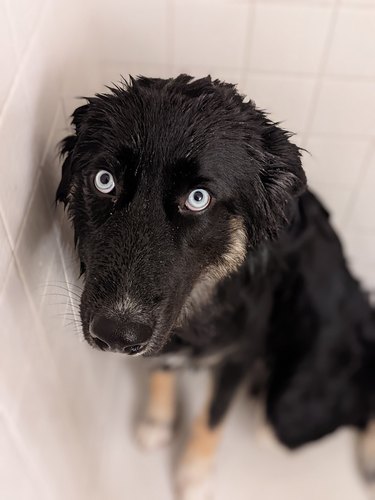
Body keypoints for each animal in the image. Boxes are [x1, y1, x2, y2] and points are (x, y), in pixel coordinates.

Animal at [57, 75, 375, 500]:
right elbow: (161, 368)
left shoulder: (237, 355)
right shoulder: (163, 332)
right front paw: (158, 422)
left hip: (292, 406)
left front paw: (194, 474)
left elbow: (212, 415)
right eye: (104, 180)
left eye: (198, 198)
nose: (116, 336)